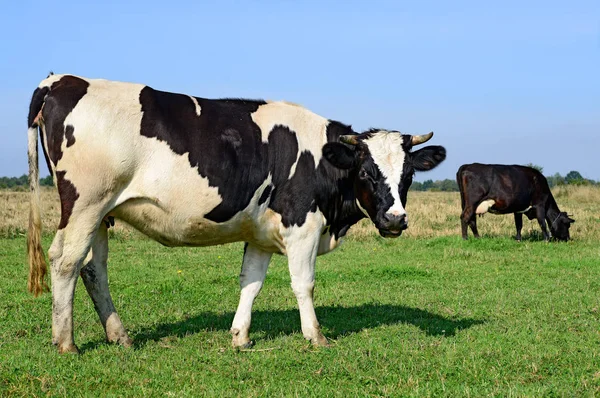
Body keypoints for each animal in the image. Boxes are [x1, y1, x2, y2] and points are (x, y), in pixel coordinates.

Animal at [27, 73, 446, 352]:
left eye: (408, 175)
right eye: (365, 172)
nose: (395, 220)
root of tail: (61, 79)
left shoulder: (260, 232)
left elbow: (251, 282)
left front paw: (240, 337)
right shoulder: (302, 226)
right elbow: (304, 283)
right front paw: (316, 336)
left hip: (101, 213)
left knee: (93, 269)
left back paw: (119, 336)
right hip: (85, 204)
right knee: (64, 261)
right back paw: (66, 343)